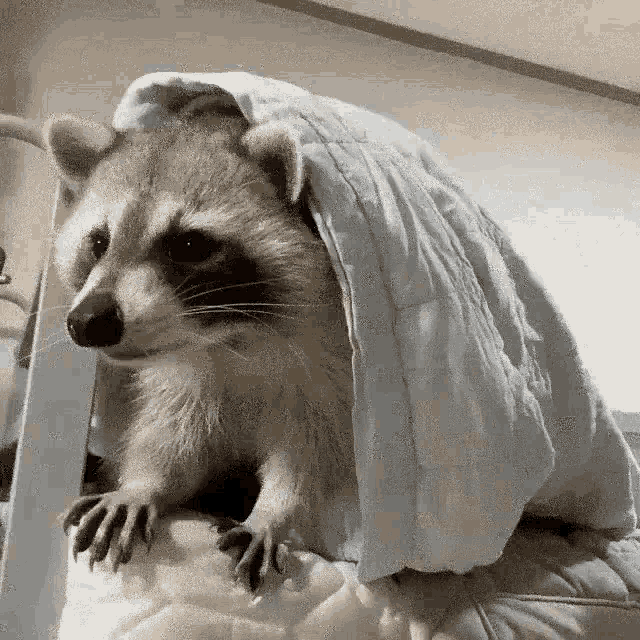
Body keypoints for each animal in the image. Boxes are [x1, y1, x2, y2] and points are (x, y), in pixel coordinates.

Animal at [46, 104, 358, 591]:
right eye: (98, 241)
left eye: (190, 244)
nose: (88, 322)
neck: (228, 336)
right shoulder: (183, 378)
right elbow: (173, 439)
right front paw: (141, 484)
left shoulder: (332, 366)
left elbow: (312, 456)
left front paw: (274, 511)